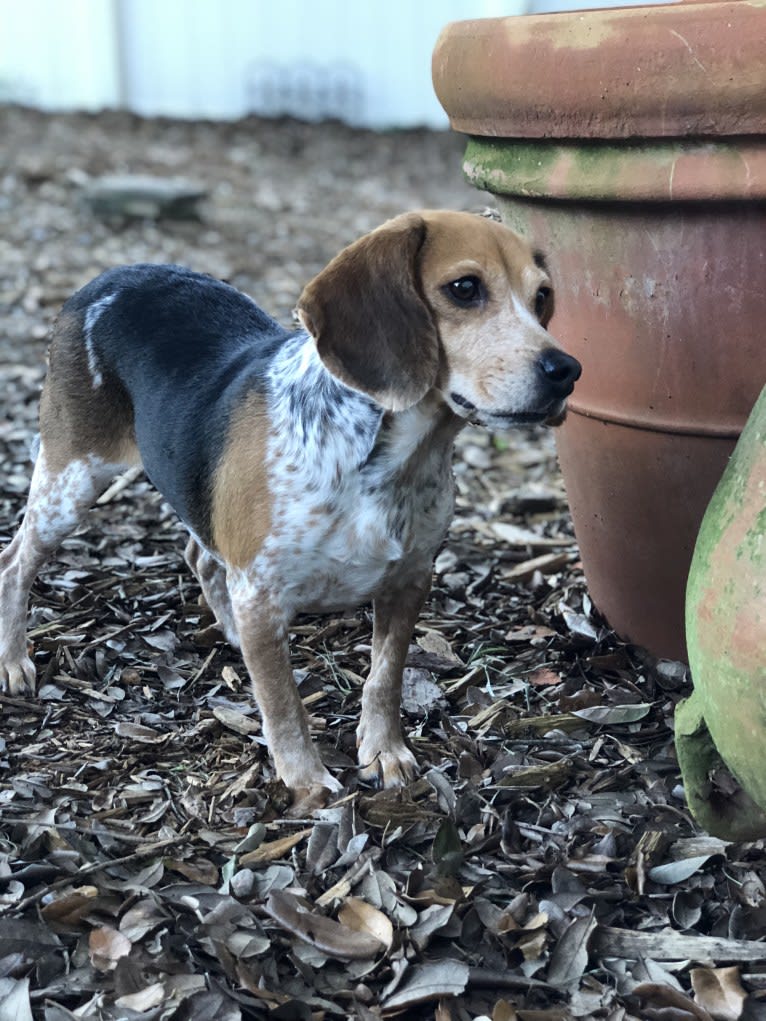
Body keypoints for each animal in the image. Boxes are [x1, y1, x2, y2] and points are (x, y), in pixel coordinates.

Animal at [0, 211, 580, 804]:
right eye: (464, 288)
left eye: (542, 297)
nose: (567, 370)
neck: (390, 460)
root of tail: (109, 277)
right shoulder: (261, 589)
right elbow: (283, 703)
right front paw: (306, 782)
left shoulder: (410, 580)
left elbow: (385, 677)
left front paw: (384, 751)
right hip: (72, 483)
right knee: (14, 561)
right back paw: (15, 661)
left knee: (199, 553)